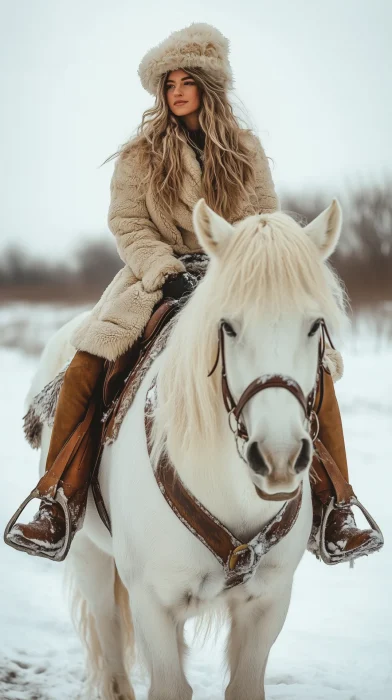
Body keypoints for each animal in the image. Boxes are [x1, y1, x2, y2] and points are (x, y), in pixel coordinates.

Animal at [28, 198, 346, 700]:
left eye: (315, 325)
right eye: (228, 326)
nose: (277, 459)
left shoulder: (267, 604)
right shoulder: (153, 604)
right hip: (91, 560)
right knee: (113, 657)